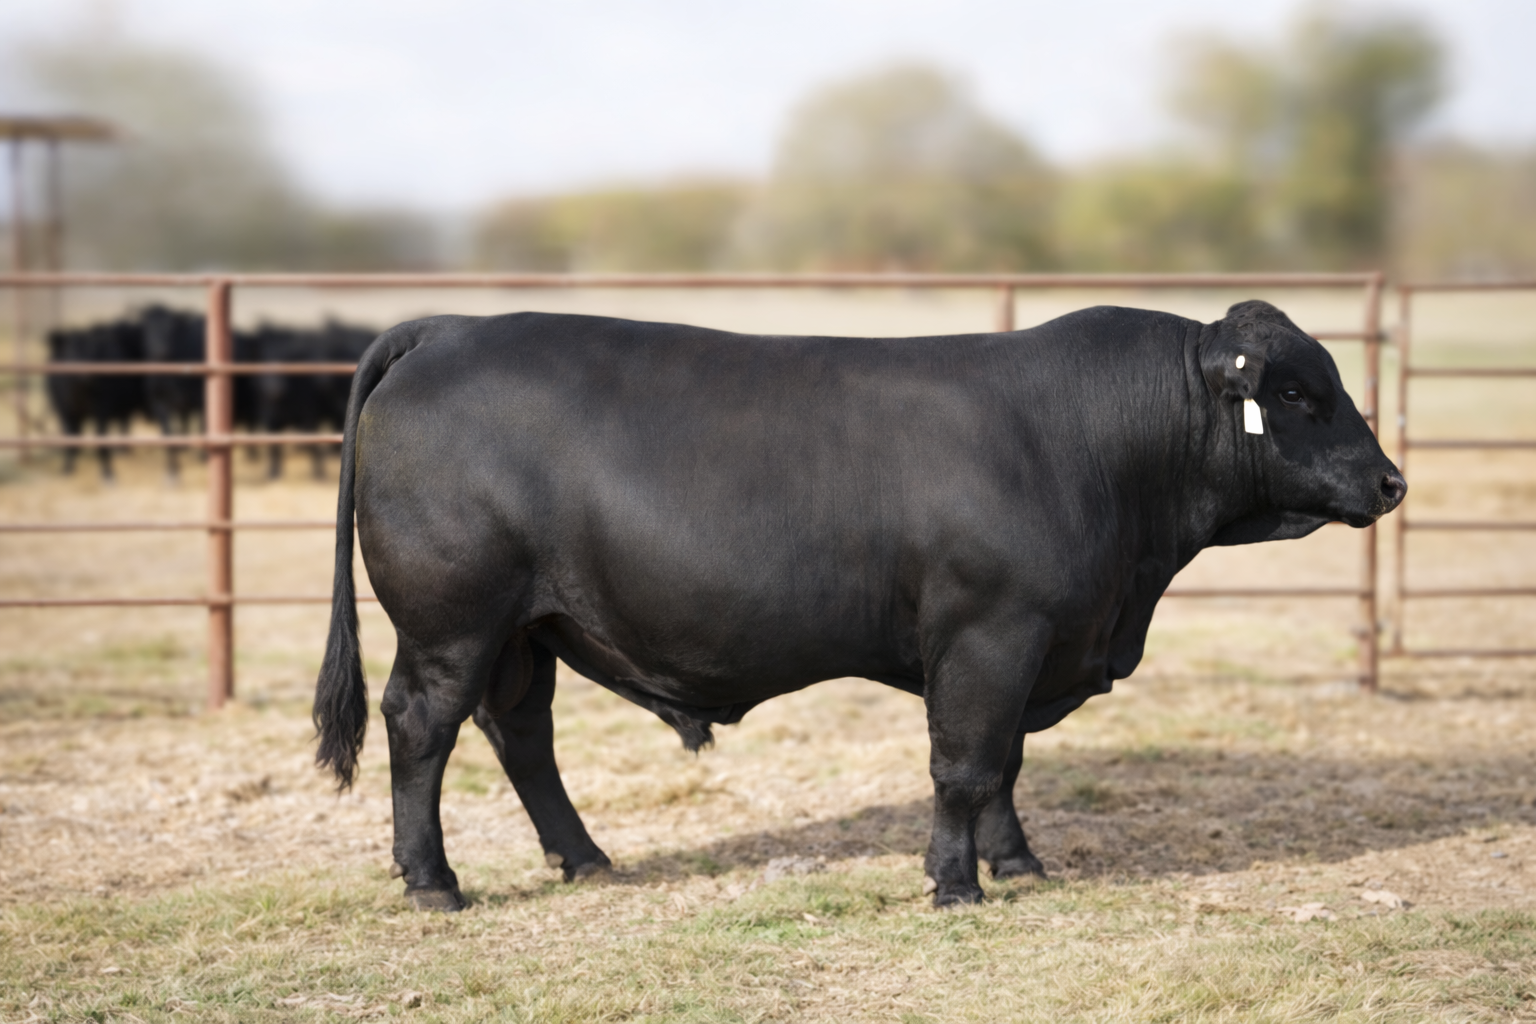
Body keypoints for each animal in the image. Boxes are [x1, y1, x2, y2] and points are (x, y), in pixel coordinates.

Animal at [312, 300, 1405, 910]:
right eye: (1298, 394)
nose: (1392, 480)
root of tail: (450, 327)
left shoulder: (1030, 646)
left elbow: (1005, 765)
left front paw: (1020, 865)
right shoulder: (987, 635)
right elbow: (965, 766)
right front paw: (956, 884)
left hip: (526, 627)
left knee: (521, 733)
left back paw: (585, 860)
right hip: (452, 619)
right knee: (422, 728)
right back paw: (434, 883)